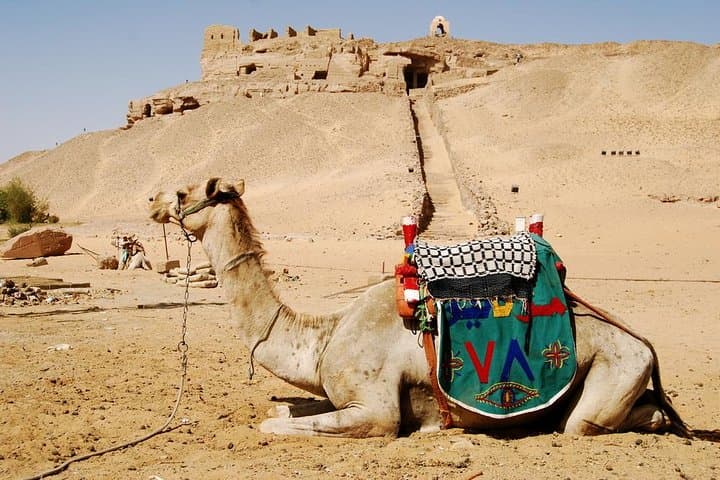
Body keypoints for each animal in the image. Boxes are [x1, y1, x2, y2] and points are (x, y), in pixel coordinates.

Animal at [149, 177, 689, 438]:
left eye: (182, 192)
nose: (152, 201)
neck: (323, 336)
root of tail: (646, 345)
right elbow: (281, 409)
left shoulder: (375, 410)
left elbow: (274, 423)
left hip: (613, 370)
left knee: (586, 423)